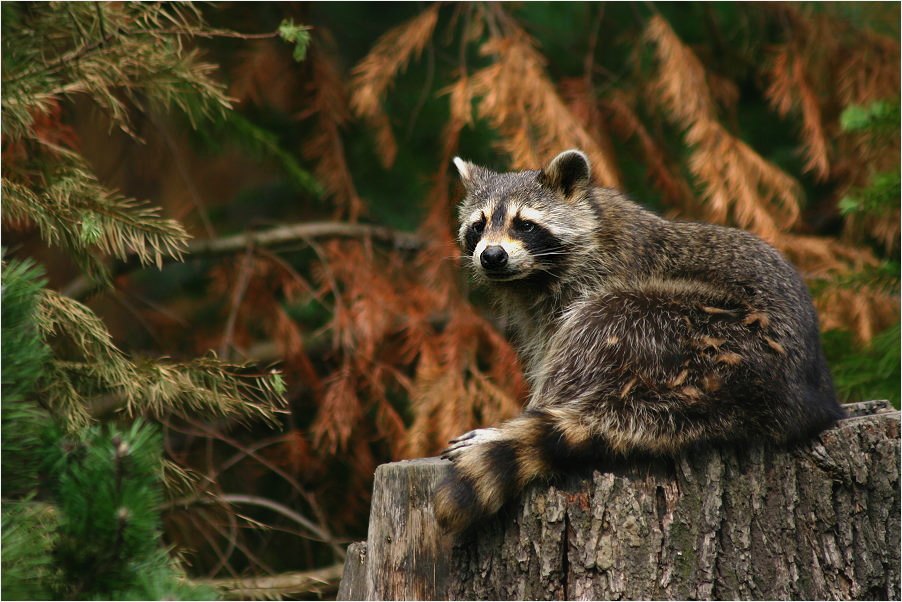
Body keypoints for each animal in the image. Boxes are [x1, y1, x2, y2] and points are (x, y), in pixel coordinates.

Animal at [434, 149, 844, 528]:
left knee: (599, 321)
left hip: (698, 330)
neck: (535, 276)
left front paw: (538, 407)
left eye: (525, 225)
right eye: (478, 225)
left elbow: (565, 347)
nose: (492, 256)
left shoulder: (597, 278)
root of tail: (778, 397)